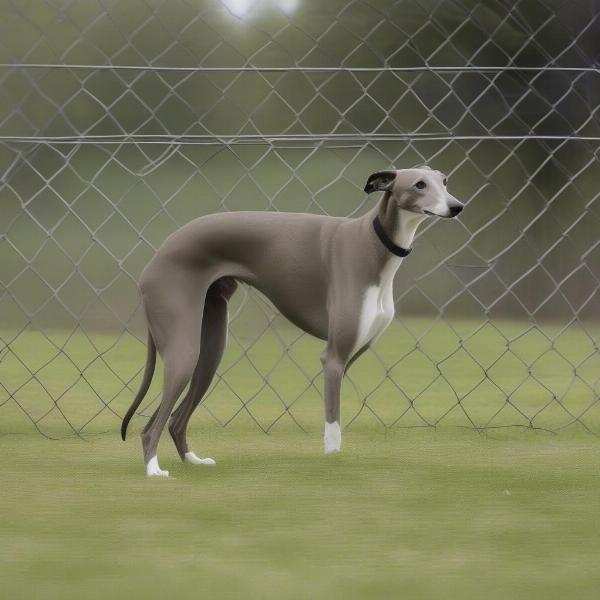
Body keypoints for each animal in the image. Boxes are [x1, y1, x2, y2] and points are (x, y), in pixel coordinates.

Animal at [119, 166, 462, 476]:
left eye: (445, 181)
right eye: (419, 184)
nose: (457, 206)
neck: (372, 243)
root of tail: (156, 258)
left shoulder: (348, 358)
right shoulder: (333, 358)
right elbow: (333, 428)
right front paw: (333, 465)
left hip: (209, 350)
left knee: (175, 420)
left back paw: (192, 460)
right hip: (184, 348)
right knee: (151, 427)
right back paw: (153, 470)